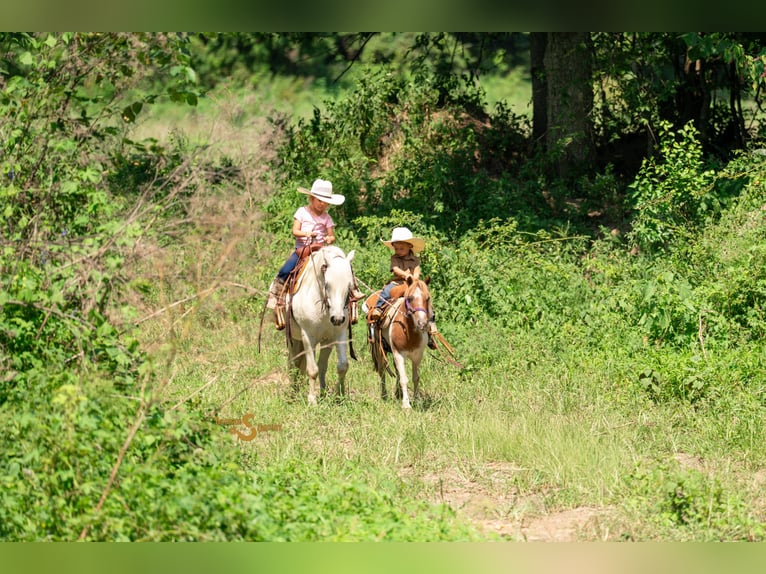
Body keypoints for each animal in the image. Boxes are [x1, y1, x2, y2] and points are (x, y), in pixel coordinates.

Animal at [287, 245, 357, 405]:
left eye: (349, 286)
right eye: (327, 285)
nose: (337, 318)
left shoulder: (339, 335)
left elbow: (342, 366)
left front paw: (339, 397)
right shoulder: (308, 337)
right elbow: (312, 370)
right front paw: (312, 400)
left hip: (326, 342)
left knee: (320, 365)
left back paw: (322, 393)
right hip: (294, 339)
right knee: (293, 364)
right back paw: (293, 394)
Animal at [366, 276, 431, 409]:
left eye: (427, 298)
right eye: (410, 298)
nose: (422, 323)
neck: (409, 333)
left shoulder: (417, 356)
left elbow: (415, 378)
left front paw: (417, 400)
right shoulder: (399, 354)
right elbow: (404, 379)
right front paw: (406, 405)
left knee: (396, 371)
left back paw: (398, 394)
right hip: (379, 349)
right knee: (382, 371)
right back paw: (384, 395)